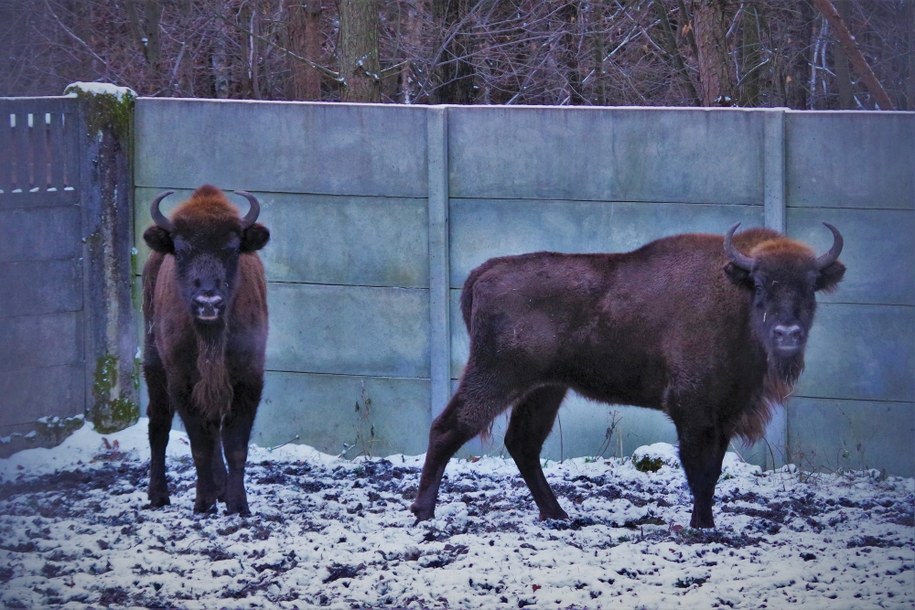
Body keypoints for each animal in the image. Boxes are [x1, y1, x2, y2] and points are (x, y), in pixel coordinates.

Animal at [140, 184, 268, 512]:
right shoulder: (181, 382)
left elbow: (235, 446)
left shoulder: (248, 378)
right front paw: (203, 501)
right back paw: (158, 494)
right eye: (182, 250)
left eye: (232, 248)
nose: (207, 301)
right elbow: (199, 445)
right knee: (159, 423)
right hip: (153, 363)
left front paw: (237, 504)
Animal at [412, 222, 848, 528]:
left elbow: (713, 470)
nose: (787, 334)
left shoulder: (725, 413)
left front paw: (706, 523)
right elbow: (699, 469)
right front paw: (701, 527)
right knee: (448, 427)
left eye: (811, 286)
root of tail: (484, 272)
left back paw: (558, 515)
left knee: (523, 443)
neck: (731, 297)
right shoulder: (691, 409)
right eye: (758, 284)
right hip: (496, 376)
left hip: (545, 389)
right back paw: (424, 513)